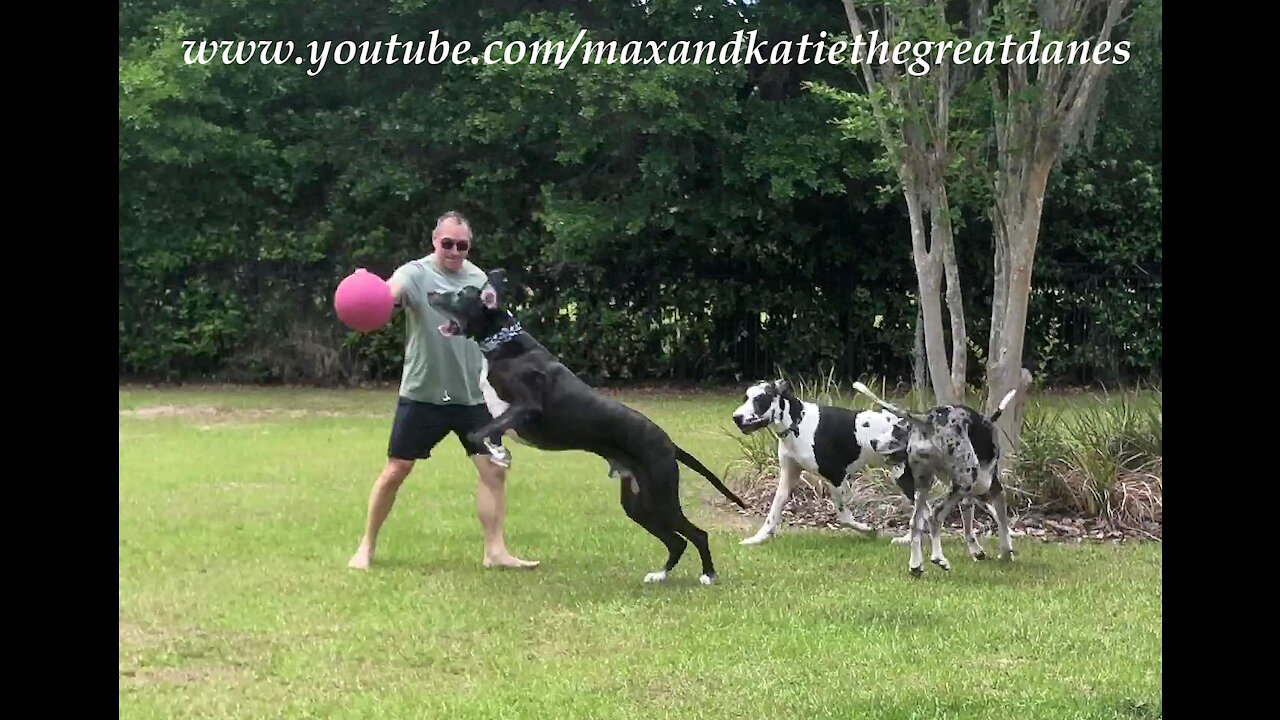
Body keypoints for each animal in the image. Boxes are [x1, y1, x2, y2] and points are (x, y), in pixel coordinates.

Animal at [732, 379, 911, 540]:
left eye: (760, 399)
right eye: (745, 398)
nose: (736, 417)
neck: (798, 424)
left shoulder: (837, 477)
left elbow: (844, 517)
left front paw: (867, 529)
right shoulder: (788, 476)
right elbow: (773, 511)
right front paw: (758, 538)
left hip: (902, 477)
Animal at [849, 381, 1018, 576]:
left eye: (896, 430)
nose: (873, 442)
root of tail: (927, 419)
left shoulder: (968, 498)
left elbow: (970, 526)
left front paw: (977, 550)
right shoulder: (990, 489)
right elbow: (1002, 521)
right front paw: (1006, 552)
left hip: (925, 486)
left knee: (916, 522)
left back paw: (917, 565)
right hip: (970, 481)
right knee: (935, 516)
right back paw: (938, 558)